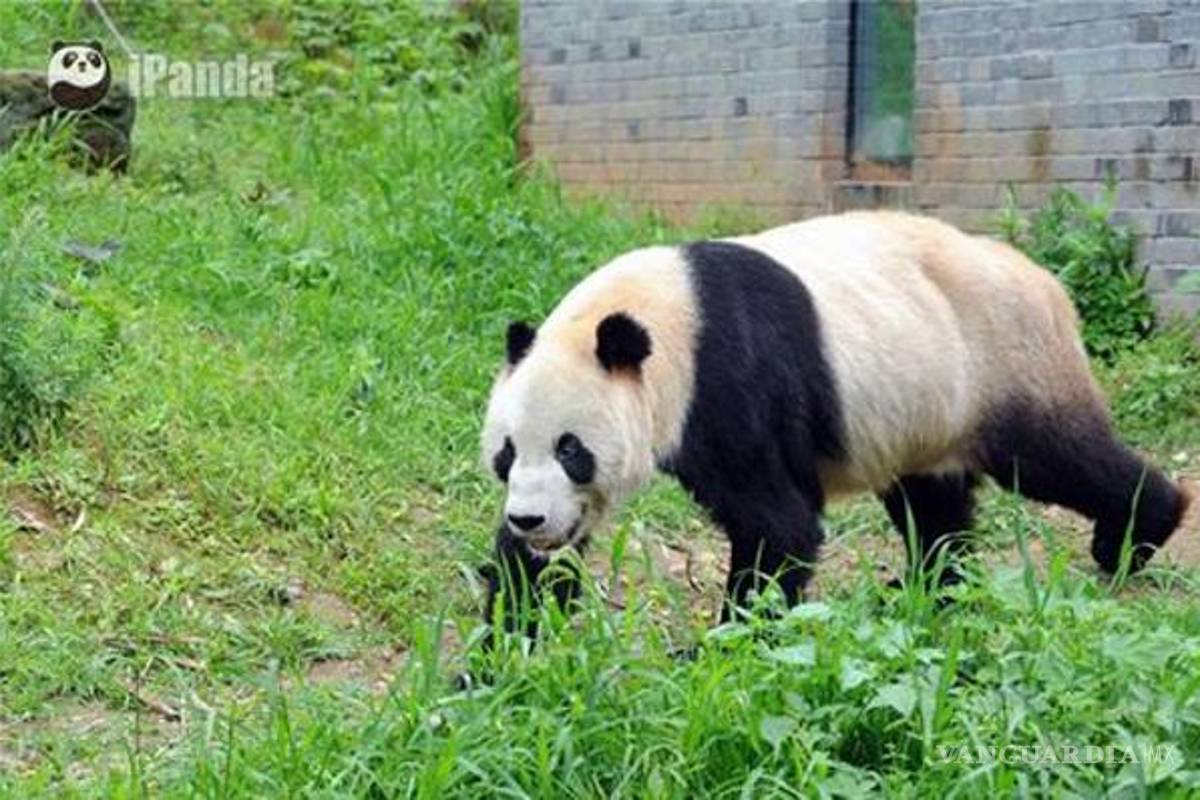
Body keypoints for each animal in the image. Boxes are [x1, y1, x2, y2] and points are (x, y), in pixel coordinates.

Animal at [479, 211, 1195, 633]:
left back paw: (1134, 536)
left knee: (1059, 458)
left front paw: (731, 641)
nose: (532, 519)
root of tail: (1049, 284)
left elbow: (777, 521)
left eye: (572, 450)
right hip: (926, 403)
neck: (660, 315)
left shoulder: (729, 383)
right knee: (931, 501)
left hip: (999, 361)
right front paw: (504, 648)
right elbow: (528, 571)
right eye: (507, 455)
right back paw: (926, 589)